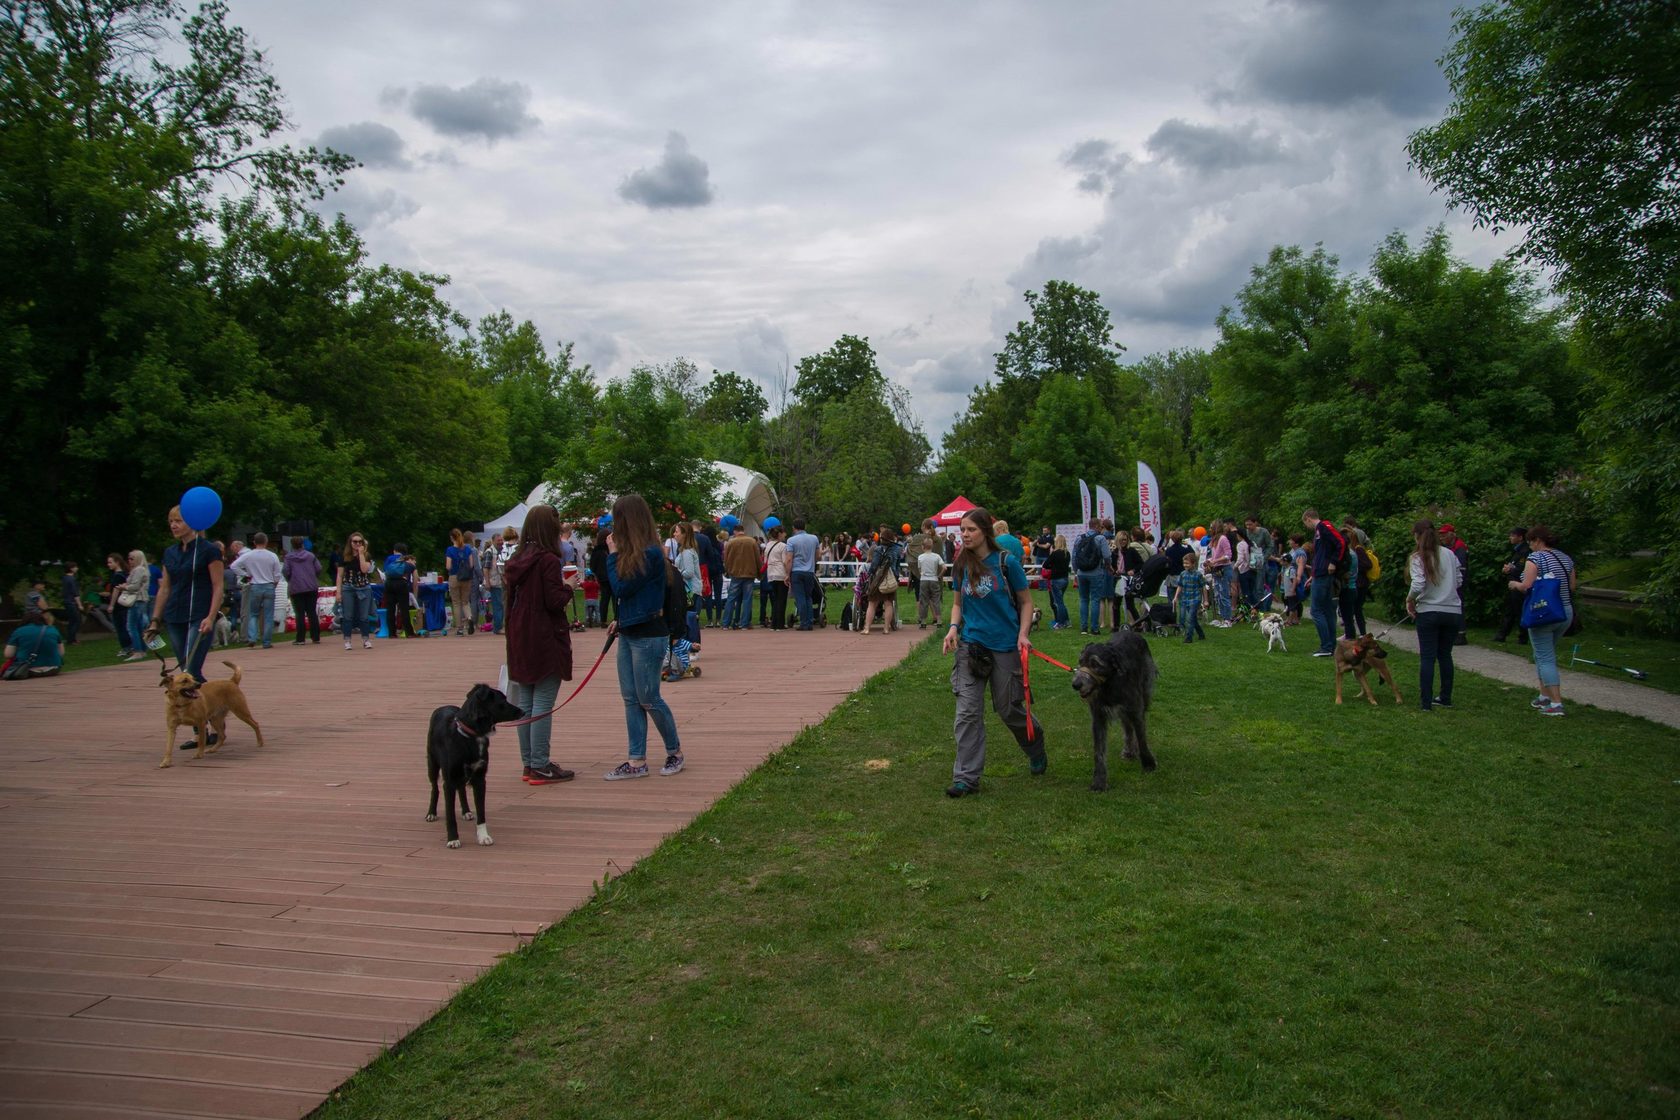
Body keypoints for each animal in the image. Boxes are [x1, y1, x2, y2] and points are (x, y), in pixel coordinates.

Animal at [426, 685, 517, 849]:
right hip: (432, 764)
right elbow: (450, 815)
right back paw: (431, 813)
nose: (522, 711)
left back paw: (466, 811)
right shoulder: (449, 781)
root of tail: (443, 706)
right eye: (503, 701)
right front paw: (453, 839)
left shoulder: (480, 778)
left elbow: (481, 812)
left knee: (461, 789)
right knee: (434, 788)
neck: (471, 736)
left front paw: (483, 836)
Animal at [1068, 628, 1162, 792]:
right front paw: (1099, 781)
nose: (1076, 684)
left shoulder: (1136, 709)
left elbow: (1141, 737)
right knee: (1128, 728)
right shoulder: (1098, 717)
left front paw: (1148, 763)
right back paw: (1129, 750)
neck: (1109, 683)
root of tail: (1130, 630)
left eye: (1095, 664)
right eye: (1081, 662)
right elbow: (1098, 750)